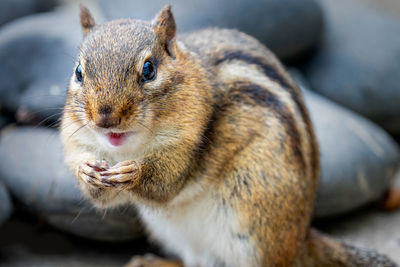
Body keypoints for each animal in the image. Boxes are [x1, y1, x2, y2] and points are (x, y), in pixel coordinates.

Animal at [60, 4, 396, 267]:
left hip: (252, 219)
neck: (129, 148)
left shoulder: (188, 144)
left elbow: (166, 183)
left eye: (148, 70)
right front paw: (86, 171)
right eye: (78, 72)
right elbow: (100, 194)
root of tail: (301, 239)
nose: (105, 118)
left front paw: (134, 172)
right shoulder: (80, 141)